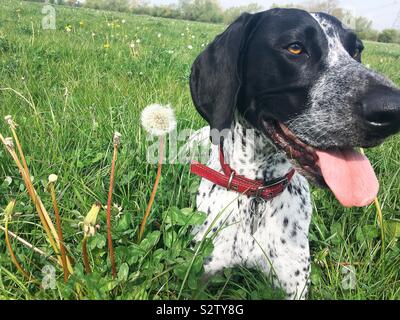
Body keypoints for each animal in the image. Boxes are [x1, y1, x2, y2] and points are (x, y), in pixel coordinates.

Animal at [189, 9, 400, 300]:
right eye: (295, 48)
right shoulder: (199, 275)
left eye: (356, 51)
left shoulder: (294, 286)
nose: (392, 110)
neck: (257, 193)